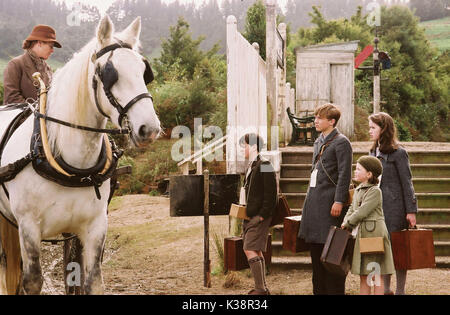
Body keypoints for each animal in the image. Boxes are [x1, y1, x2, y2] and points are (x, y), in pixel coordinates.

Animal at [0, 16, 161, 296]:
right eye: (109, 73)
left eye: (144, 72)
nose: (149, 129)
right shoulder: (28, 227)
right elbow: (32, 281)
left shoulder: (93, 227)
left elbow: (89, 280)